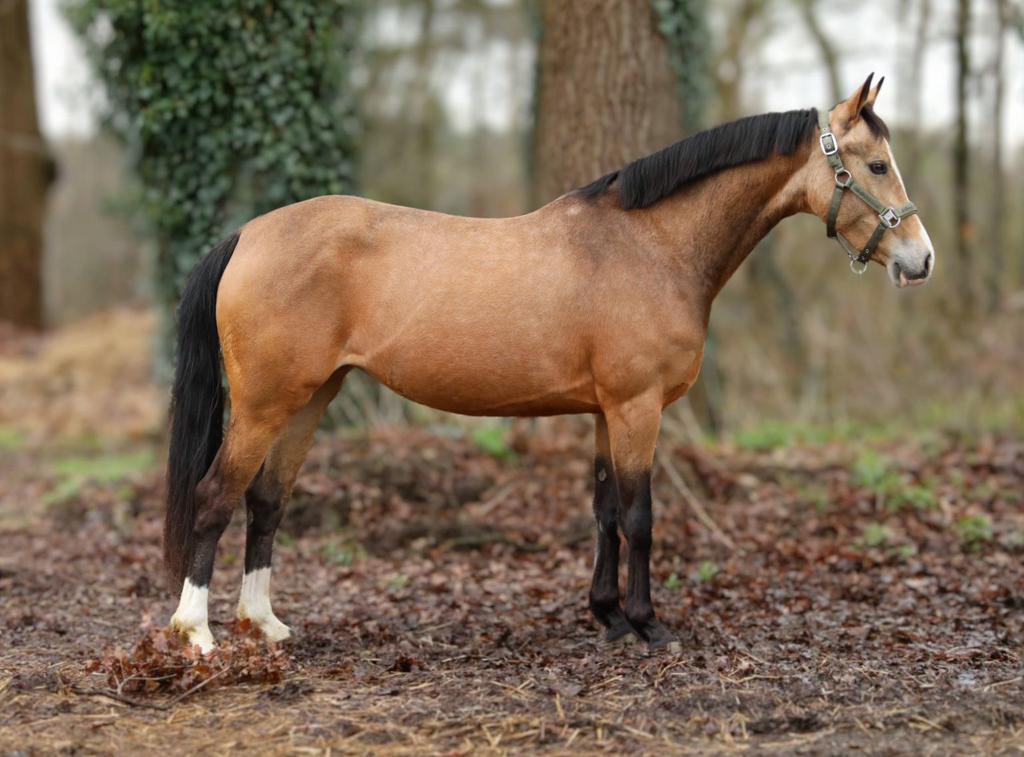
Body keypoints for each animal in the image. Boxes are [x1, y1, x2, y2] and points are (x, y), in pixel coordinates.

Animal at [165, 74, 934, 653]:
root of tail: (248, 233)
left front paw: (608, 615)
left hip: (312, 397)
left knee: (266, 500)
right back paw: (195, 633)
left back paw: (264, 623)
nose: (921, 260)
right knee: (214, 497)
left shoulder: (604, 411)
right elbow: (640, 515)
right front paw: (649, 624)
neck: (650, 245)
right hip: (264, 405)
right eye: (875, 166)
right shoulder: (636, 408)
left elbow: (604, 510)